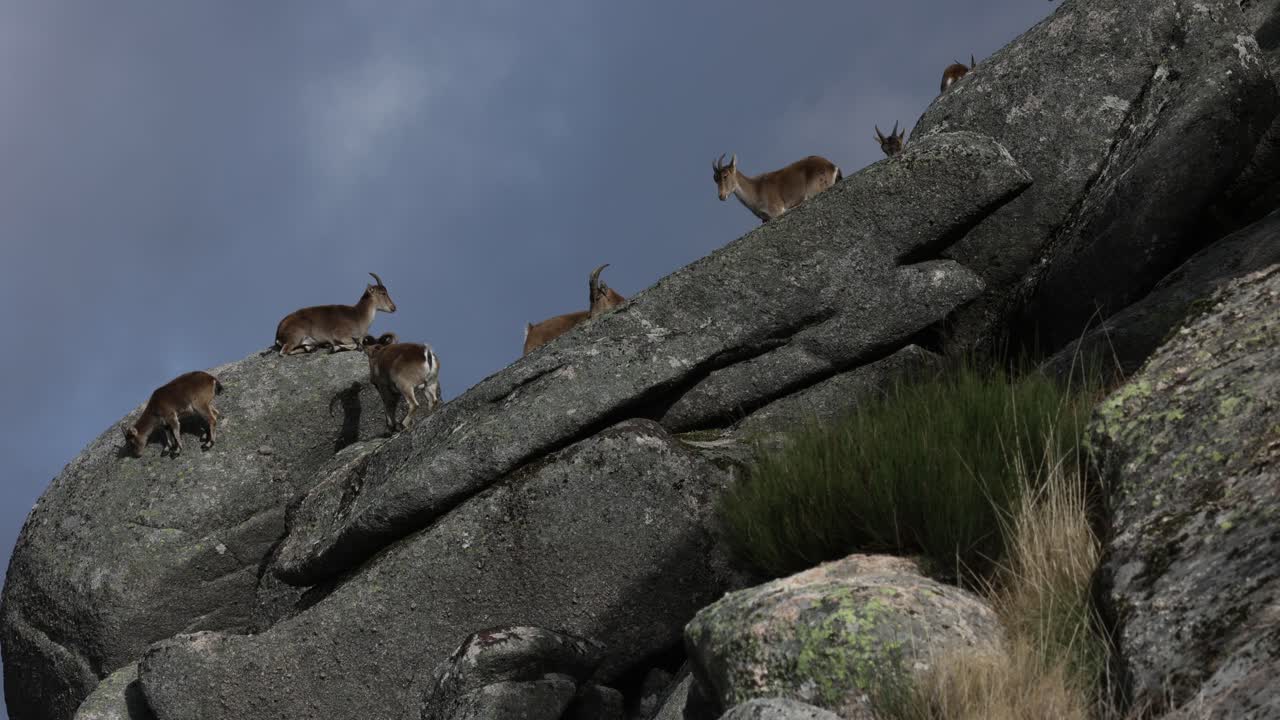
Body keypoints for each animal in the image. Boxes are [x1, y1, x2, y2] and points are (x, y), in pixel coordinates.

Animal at [712, 154, 842, 223]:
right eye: (714, 178)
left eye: (725, 175)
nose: (721, 196)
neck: (756, 191)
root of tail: (833, 167)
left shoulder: (777, 211)